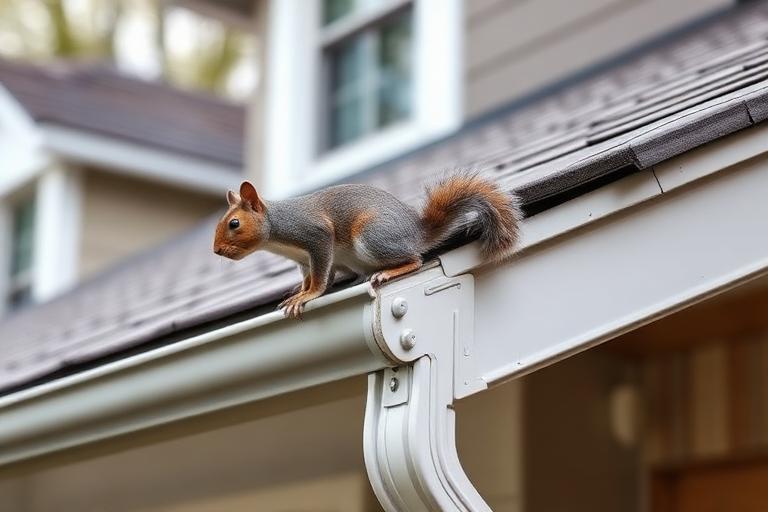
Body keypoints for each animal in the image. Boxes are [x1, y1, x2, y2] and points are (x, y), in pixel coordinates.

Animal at [213, 173, 521, 318]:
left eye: (234, 224)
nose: (216, 251)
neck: (277, 235)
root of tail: (416, 232)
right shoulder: (303, 260)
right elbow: (312, 276)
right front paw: (297, 293)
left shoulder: (316, 235)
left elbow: (320, 278)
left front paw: (307, 296)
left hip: (372, 236)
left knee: (415, 259)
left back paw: (388, 272)